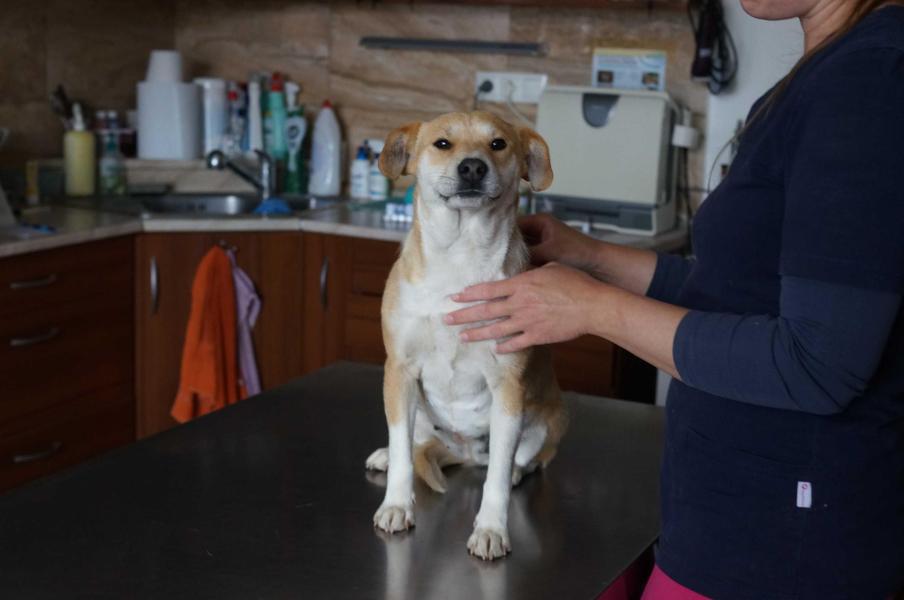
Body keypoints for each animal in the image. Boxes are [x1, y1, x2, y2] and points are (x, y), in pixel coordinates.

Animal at [364, 111, 566, 560]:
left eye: (497, 144)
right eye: (443, 144)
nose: (472, 167)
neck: (459, 256)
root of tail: (463, 450)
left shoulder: (508, 385)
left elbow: (496, 478)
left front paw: (491, 529)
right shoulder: (399, 371)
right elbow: (403, 454)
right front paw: (396, 505)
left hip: (551, 419)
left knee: (515, 461)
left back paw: (514, 471)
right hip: (414, 406)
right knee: (410, 442)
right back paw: (386, 454)